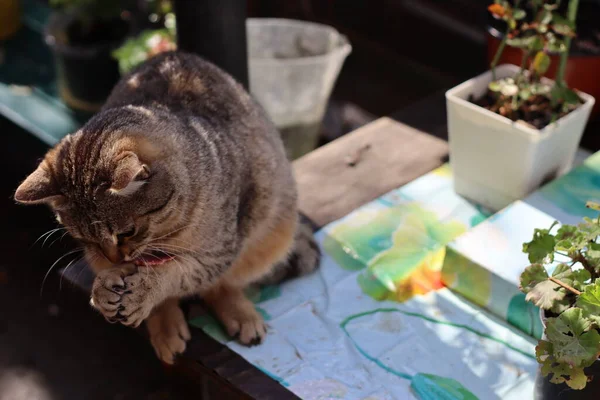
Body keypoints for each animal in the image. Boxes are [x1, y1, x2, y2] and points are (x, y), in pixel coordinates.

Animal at [14, 51, 322, 364]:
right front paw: (107, 285)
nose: (114, 257)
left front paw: (148, 289)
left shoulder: (217, 252)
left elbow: (180, 276)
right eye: (85, 239)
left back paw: (239, 313)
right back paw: (165, 327)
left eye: (127, 232)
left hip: (271, 232)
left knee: (224, 284)